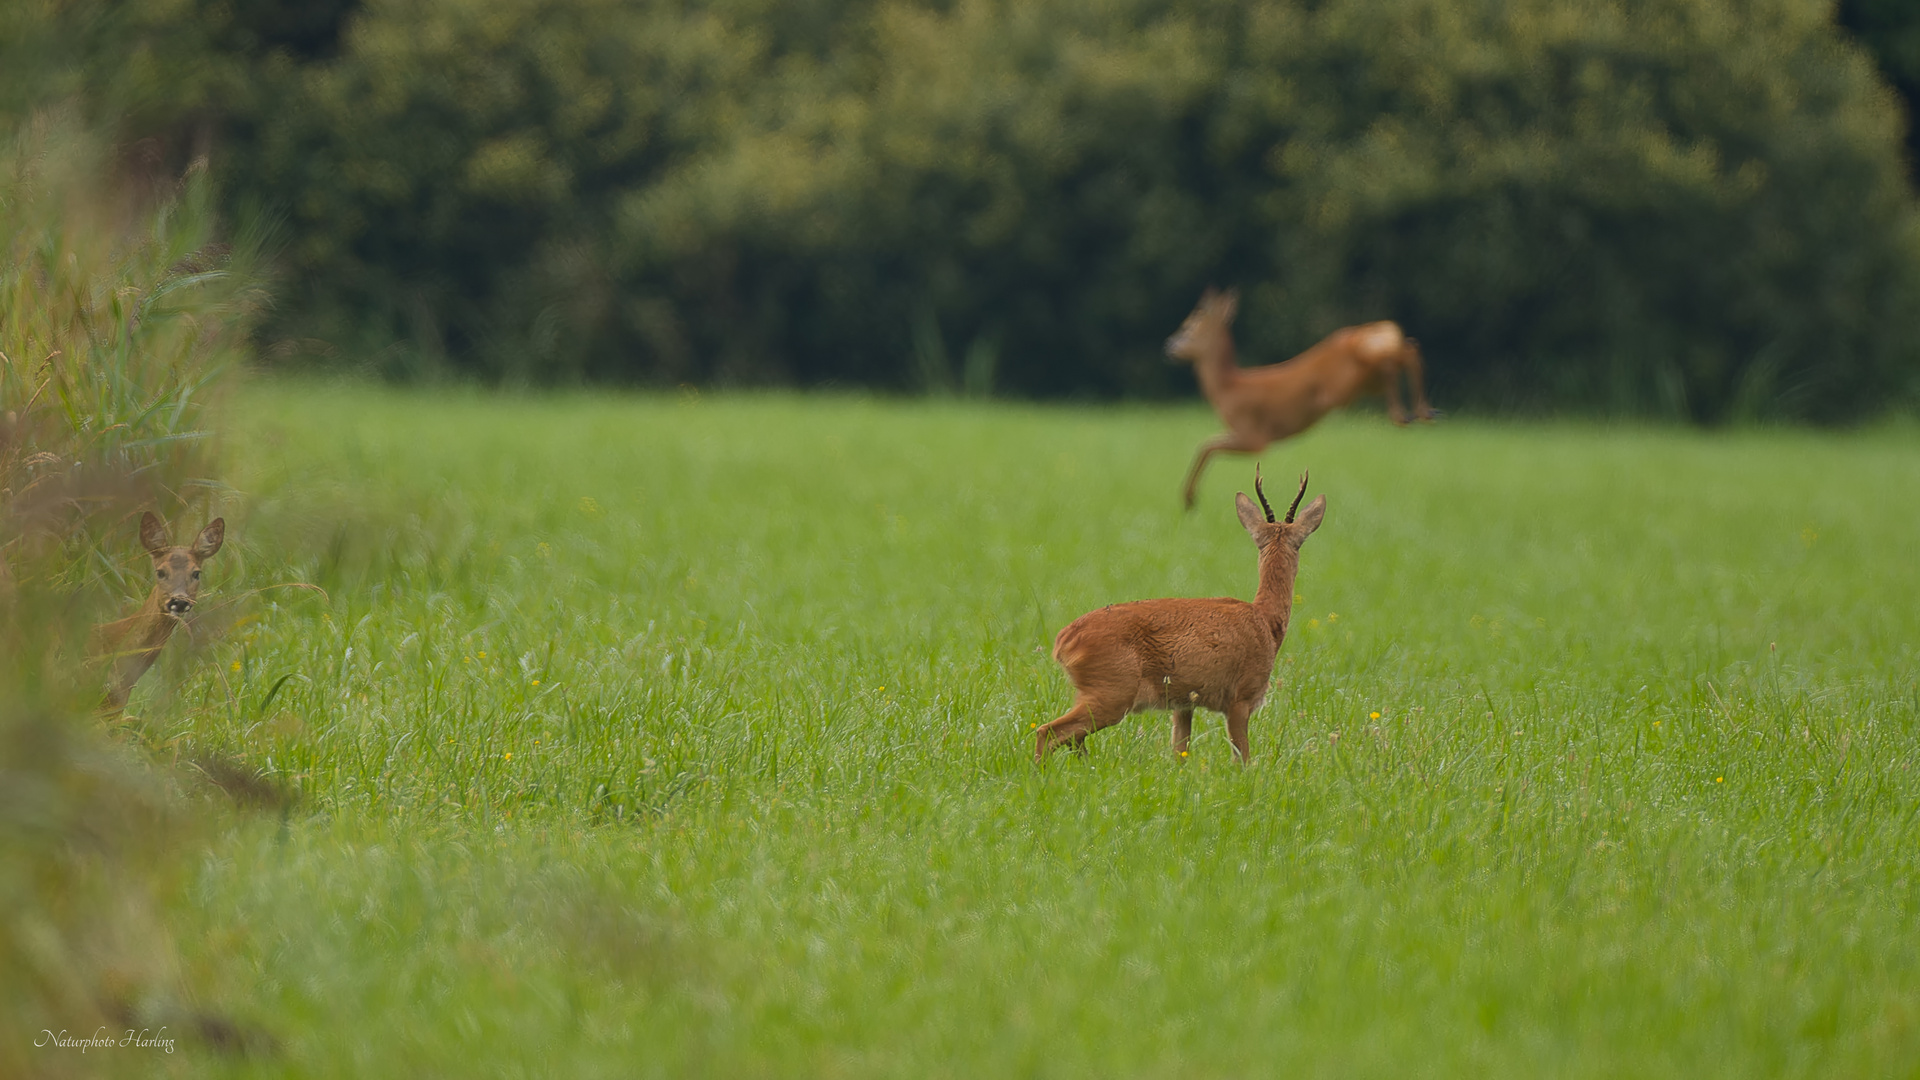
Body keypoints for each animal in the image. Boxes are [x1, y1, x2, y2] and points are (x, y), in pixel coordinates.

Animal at [1036, 466, 1320, 760]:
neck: (1265, 621)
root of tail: (1063, 642)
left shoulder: (1183, 704)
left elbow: (1179, 752)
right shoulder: (1241, 697)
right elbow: (1243, 759)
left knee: (1071, 738)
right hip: (1111, 692)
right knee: (1049, 732)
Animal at [1159, 286, 1436, 503]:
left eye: (1188, 327)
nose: (1169, 345)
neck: (1228, 386)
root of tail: (1378, 328)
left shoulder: (1255, 436)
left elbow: (1206, 445)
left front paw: (1188, 499)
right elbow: (1207, 445)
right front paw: (1188, 498)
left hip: (1352, 376)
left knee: (1400, 356)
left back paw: (1405, 414)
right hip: (1367, 379)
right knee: (1409, 349)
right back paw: (1421, 412)